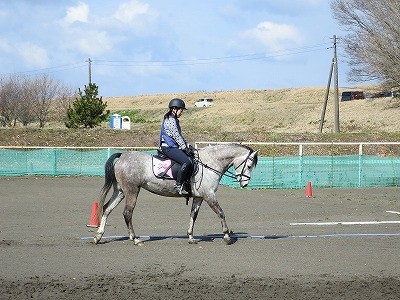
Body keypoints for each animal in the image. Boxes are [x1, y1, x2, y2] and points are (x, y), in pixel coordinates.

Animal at [92, 142, 258, 245]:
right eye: (249, 165)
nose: (244, 184)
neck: (210, 163)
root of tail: (122, 156)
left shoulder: (199, 197)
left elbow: (193, 216)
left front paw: (191, 237)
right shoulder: (209, 195)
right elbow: (221, 213)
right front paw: (227, 236)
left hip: (120, 191)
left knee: (107, 208)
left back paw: (98, 236)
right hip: (132, 191)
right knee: (127, 213)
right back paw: (135, 239)